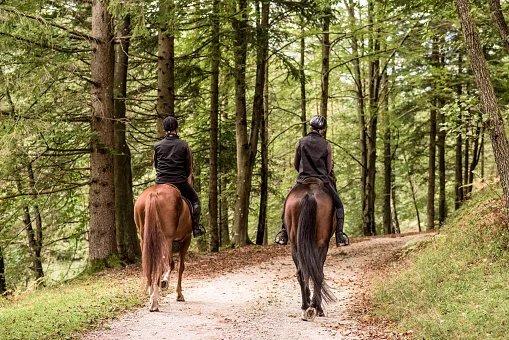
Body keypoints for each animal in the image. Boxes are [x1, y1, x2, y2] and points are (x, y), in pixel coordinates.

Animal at [282, 179, 338, 320]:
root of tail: (309, 194)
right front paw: (318, 308)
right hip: (321, 243)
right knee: (317, 272)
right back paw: (313, 308)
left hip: (295, 244)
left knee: (301, 272)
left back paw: (305, 307)